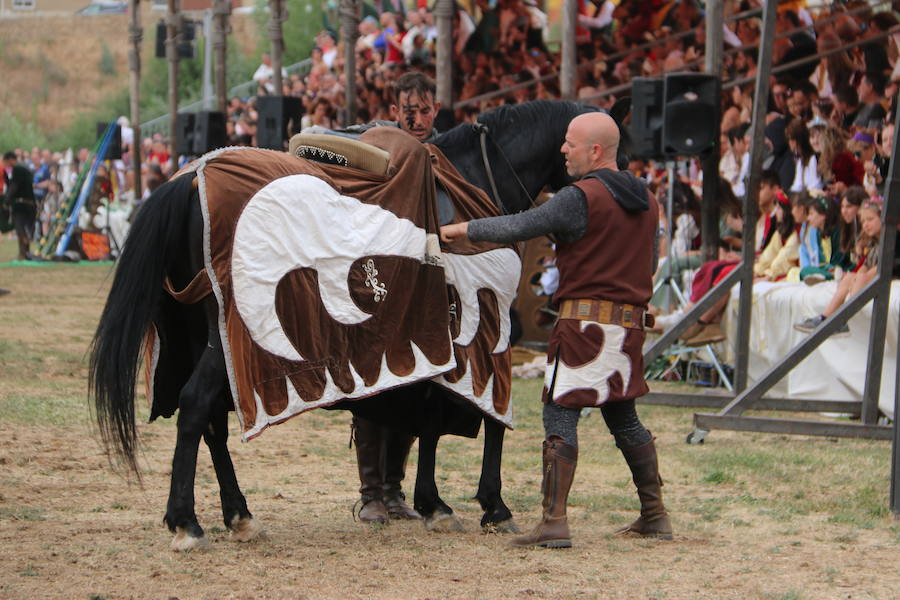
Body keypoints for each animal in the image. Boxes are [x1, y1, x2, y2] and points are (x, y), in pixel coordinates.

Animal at [88, 97, 628, 548]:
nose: (625, 188)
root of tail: (189, 177)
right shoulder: (482, 334)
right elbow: (481, 419)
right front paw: (489, 506)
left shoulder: (432, 340)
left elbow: (426, 419)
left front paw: (431, 503)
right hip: (228, 343)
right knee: (197, 406)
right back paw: (187, 522)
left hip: (209, 335)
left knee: (213, 421)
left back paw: (238, 515)